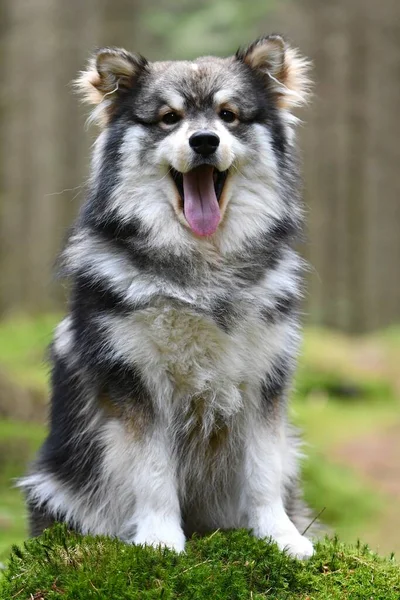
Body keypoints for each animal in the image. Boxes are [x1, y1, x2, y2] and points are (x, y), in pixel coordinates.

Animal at [20, 35, 314, 560]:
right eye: (169, 118)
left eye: (228, 115)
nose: (205, 141)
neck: (203, 271)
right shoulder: (138, 381)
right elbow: (153, 473)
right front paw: (159, 540)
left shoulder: (265, 381)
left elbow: (264, 471)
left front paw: (279, 536)